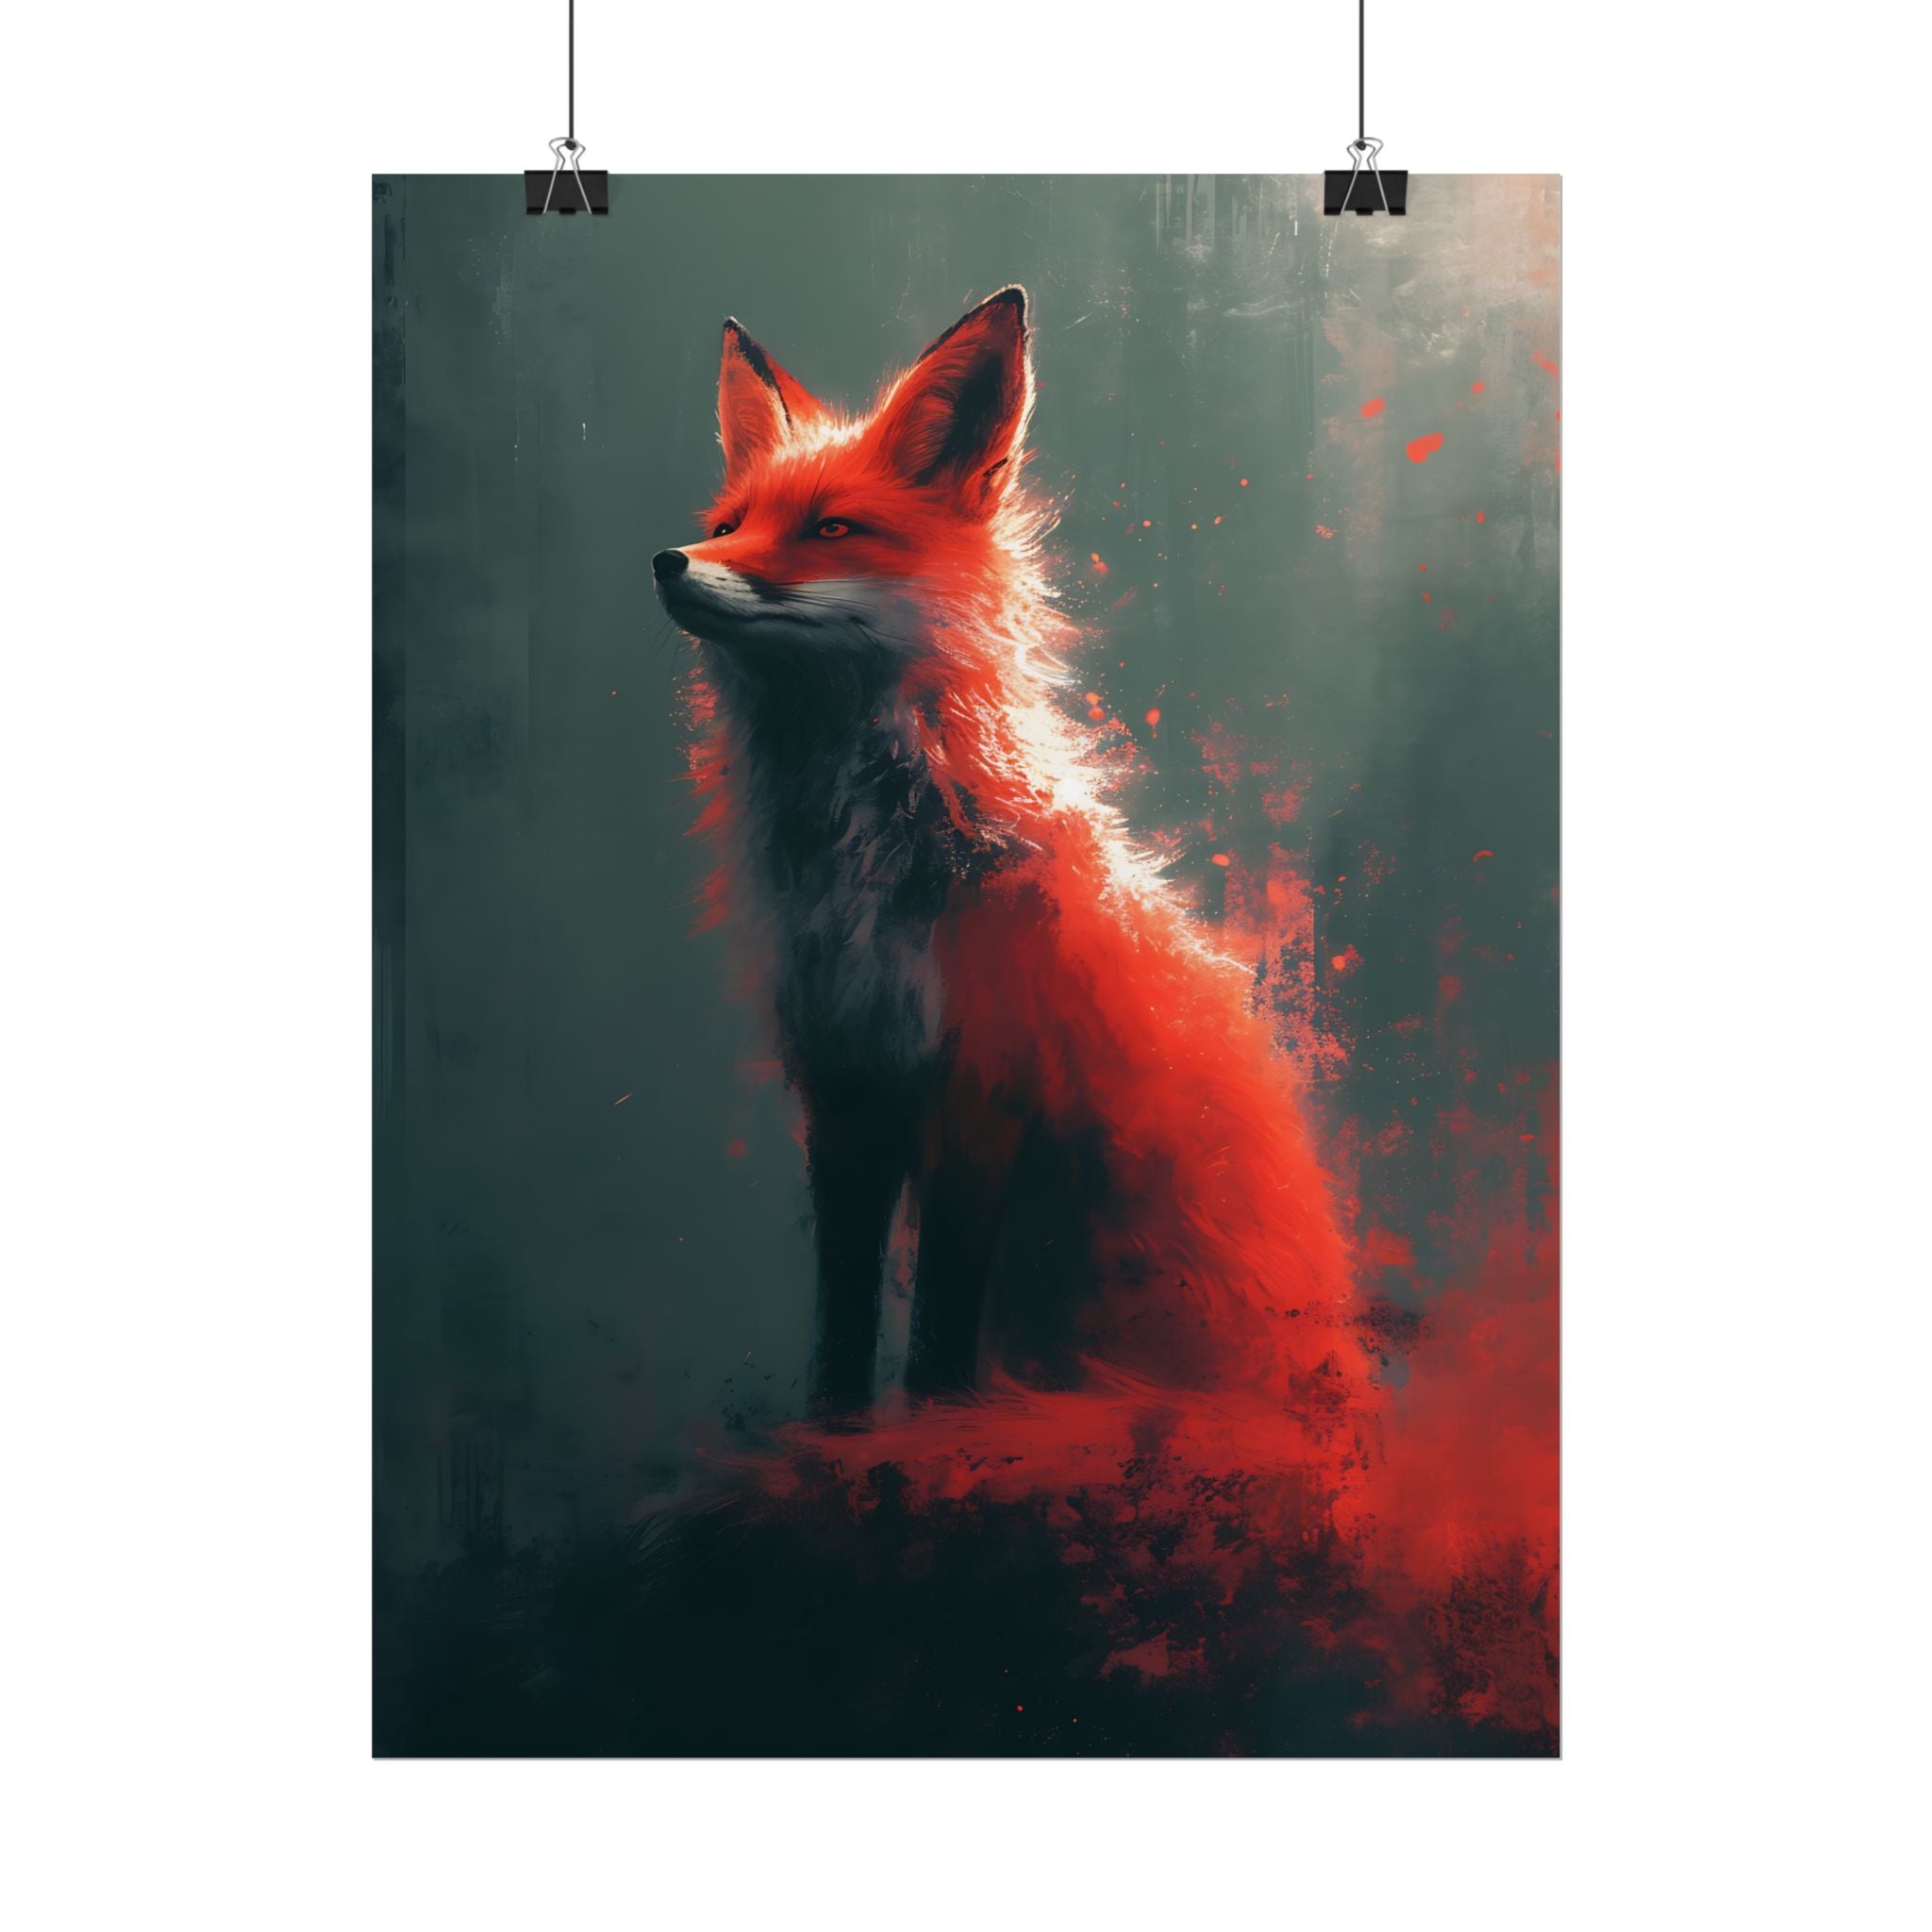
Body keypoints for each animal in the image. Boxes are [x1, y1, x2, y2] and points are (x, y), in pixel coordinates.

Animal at [653, 287, 1372, 1430]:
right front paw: (835, 1427)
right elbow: (842, 1310)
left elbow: (942, 1321)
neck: (866, 868)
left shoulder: (981, 1086)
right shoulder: (842, 1087)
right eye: (729, 526)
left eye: (831, 529)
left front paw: (935, 1425)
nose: (670, 561)